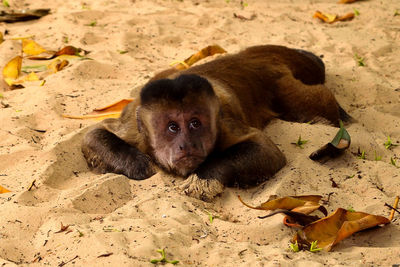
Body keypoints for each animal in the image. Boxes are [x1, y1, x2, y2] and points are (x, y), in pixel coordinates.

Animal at [81, 45, 350, 201]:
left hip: (279, 82)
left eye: (195, 124)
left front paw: (205, 178)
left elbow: (267, 151)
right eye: (172, 127)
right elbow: (92, 134)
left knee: (315, 106)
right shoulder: (135, 129)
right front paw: (137, 163)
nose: (187, 145)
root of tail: (251, 57)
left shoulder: (224, 126)